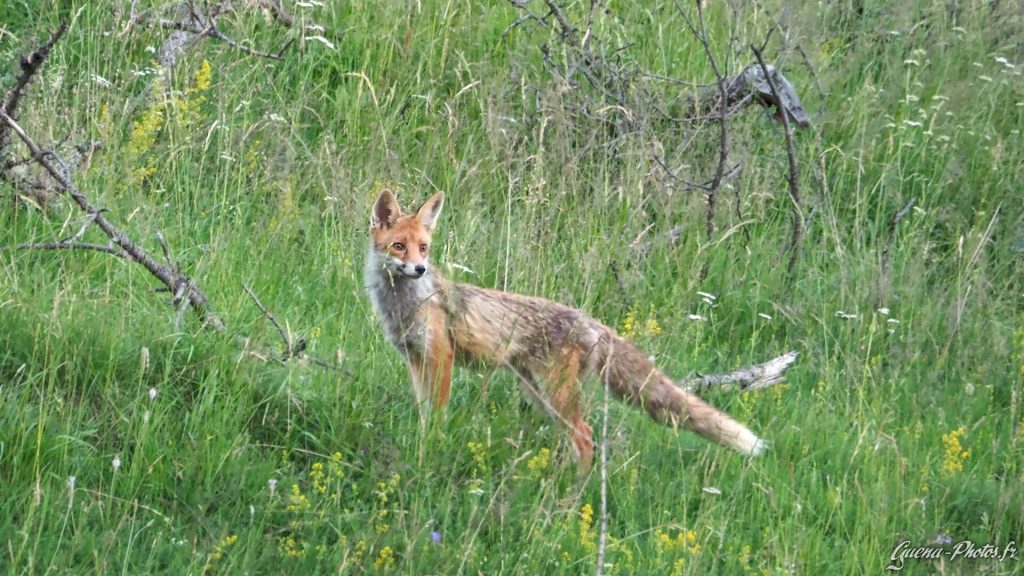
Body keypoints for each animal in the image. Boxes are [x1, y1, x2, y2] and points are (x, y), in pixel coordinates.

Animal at [364, 188, 765, 471]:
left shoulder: (440, 357)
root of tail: (590, 320)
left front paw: (433, 449)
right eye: (398, 246)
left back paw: (571, 499)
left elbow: (438, 416)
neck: (405, 305)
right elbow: (423, 415)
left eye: (424, 248)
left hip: (554, 394)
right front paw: (422, 447)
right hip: (539, 394)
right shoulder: (415, 360)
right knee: (577, 438)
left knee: (586, 438)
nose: (419, 270)